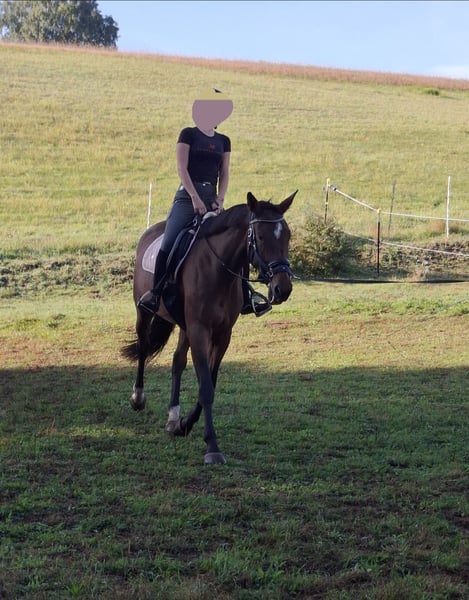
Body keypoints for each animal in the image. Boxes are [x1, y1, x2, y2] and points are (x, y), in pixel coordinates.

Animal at [121, 190, 297, 465]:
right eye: (259, 236)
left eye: (287, 235)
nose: (283, 288)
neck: (218, 270)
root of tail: (151, 231)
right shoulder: (200, 330)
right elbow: (205, 387)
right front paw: (212, 447)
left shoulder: (223, 334)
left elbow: (209, 383)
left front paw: (184, 425)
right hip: (144, 312)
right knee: (142, 348)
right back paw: (138, 398)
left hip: (184, 327)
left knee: (177, 361)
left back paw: (173, 418)